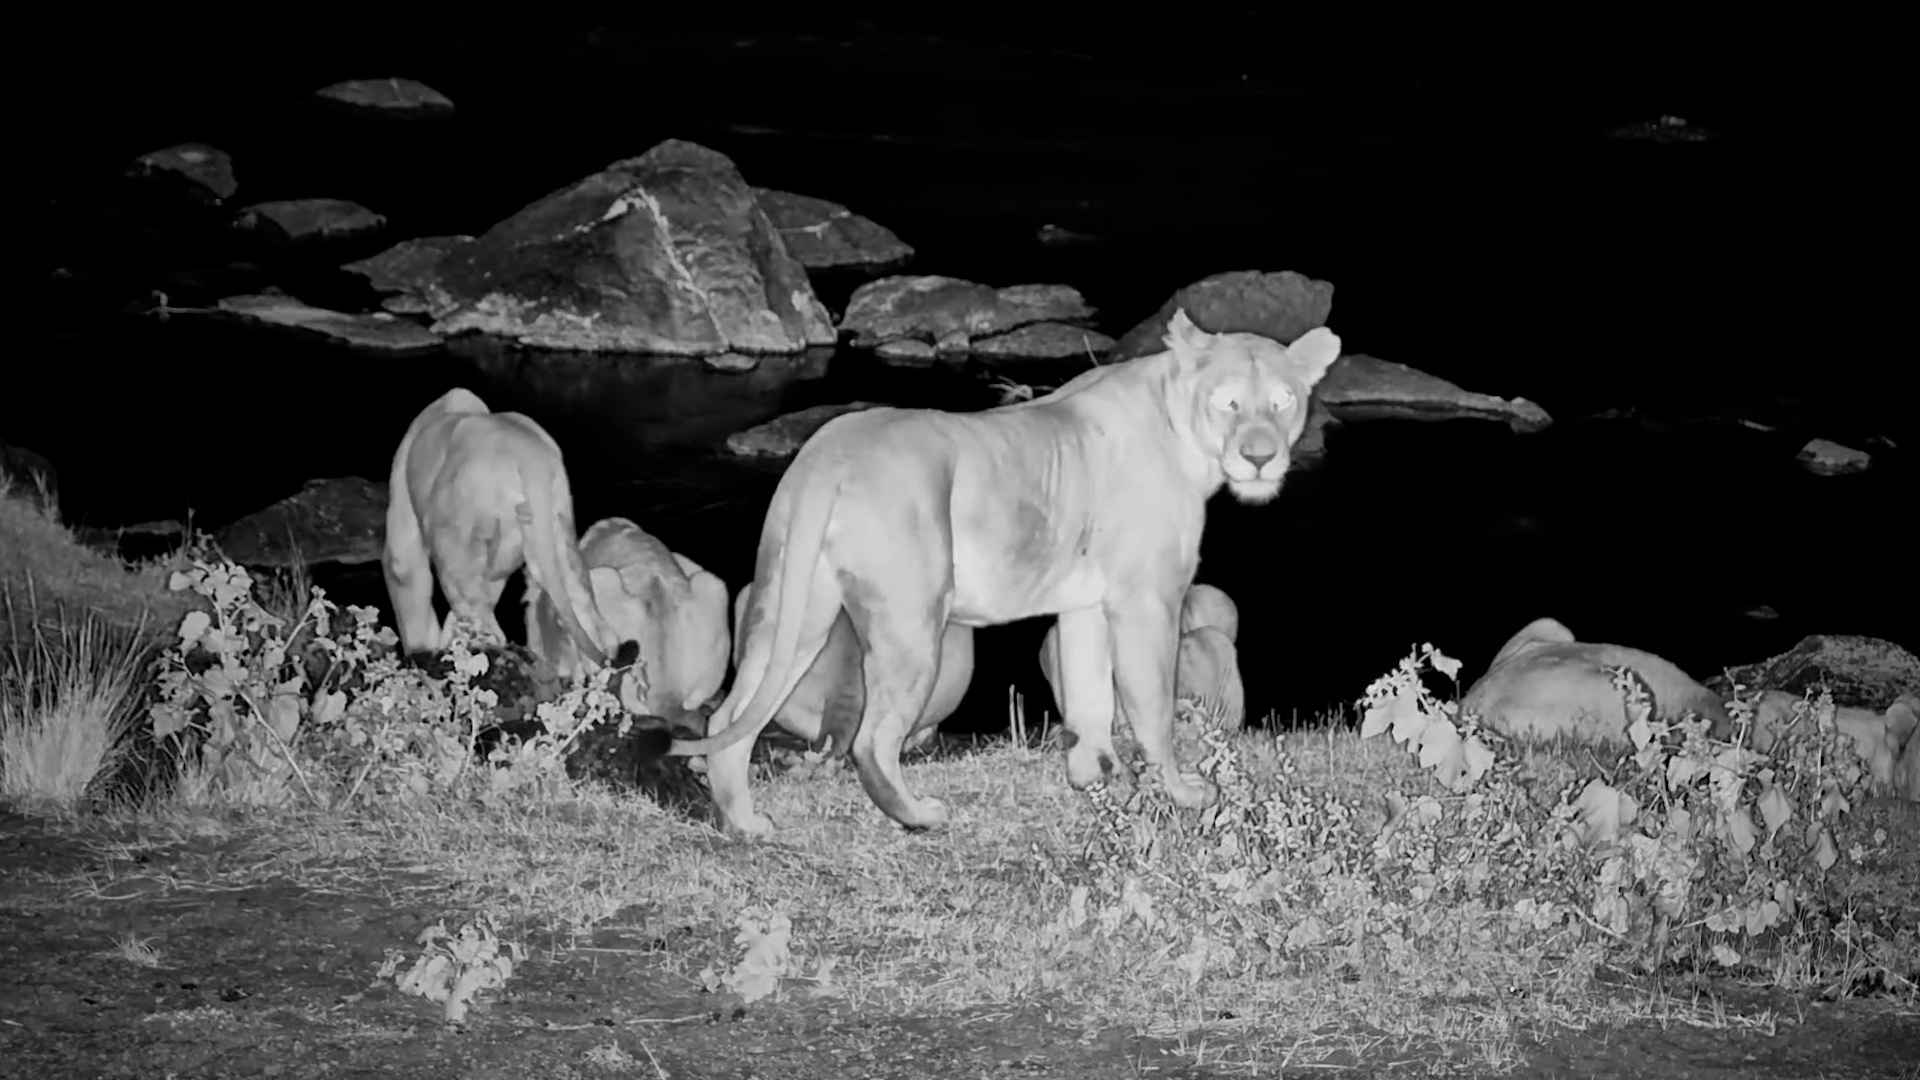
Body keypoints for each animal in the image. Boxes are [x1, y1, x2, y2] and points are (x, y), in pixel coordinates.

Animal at [384, 388, 639, 707]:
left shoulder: (405, 536)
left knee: (487, 634)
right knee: (594, 625)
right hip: (554, 536)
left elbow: (407, 583)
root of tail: (531, 459)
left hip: (456, 551)